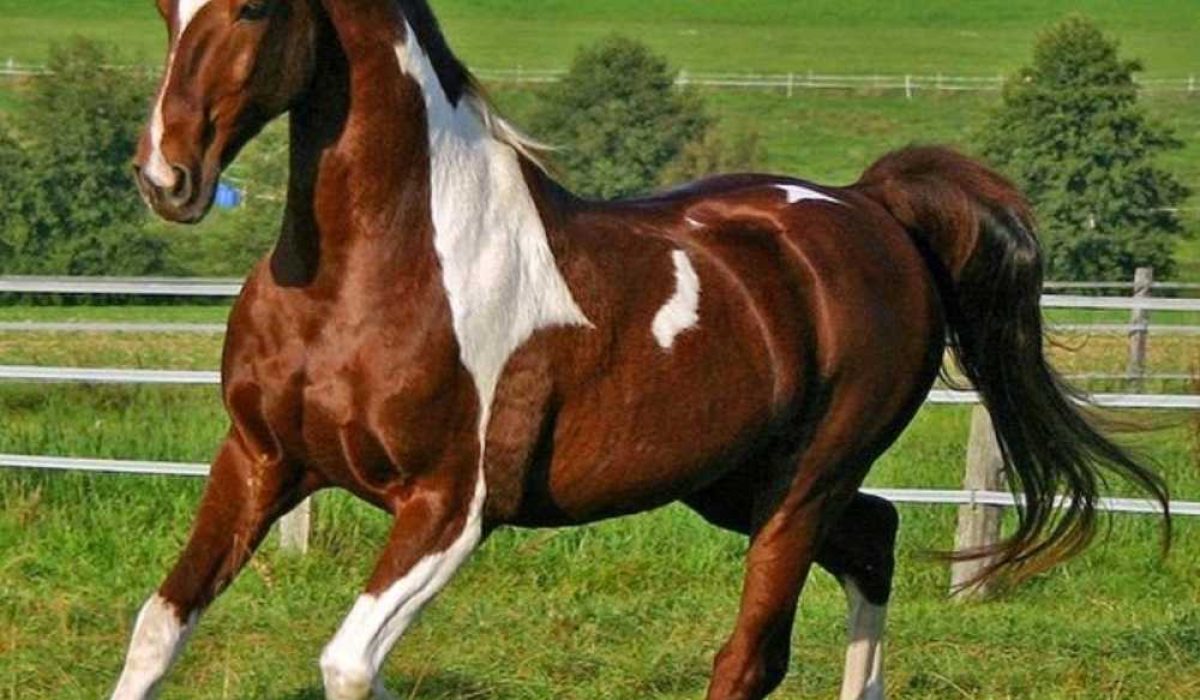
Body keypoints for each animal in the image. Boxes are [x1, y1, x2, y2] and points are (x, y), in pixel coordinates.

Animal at [116, 1, 1169, 698]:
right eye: (165, 6)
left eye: (256, 6)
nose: (168, 176)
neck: (383, 265)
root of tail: (871, 208)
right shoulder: (260, 460)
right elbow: (157, 628)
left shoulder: (449, 507)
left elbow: (346, 662)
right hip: (731, 483)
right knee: (874, 541)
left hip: (805, 483)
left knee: (752, 655)